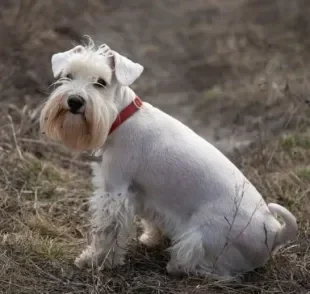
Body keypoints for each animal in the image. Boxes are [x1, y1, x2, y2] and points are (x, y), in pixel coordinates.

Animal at [39, 40, 298, 280]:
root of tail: (276, 232)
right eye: (68, 75)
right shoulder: (143, 194)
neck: (121, 117)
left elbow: (108, 231)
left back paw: (178, 266)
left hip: (206, 240)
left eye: (101, 82)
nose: (75, 101)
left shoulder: (114, 192)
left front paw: (95, 260)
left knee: (215, 270)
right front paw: (151, 237)